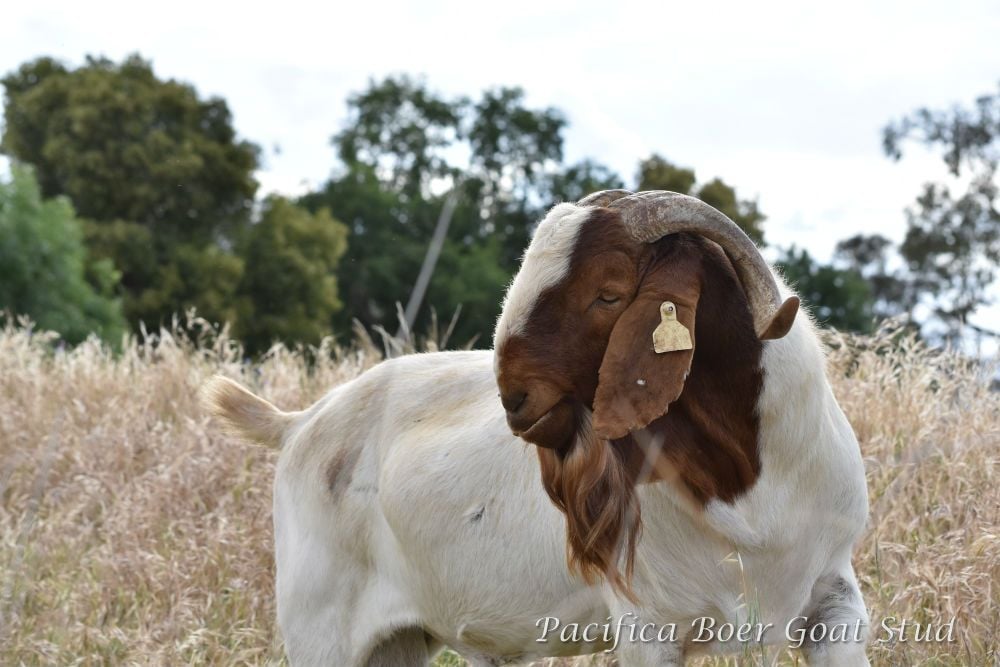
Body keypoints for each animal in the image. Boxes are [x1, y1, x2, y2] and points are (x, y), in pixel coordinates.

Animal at [204, 190, 870, 666]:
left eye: (609, 293)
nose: (514, 397)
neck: (743, 479)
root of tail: (301, 423)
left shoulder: (834, 602)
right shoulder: (648, 622)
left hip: (399, 642)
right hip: (319, 631)